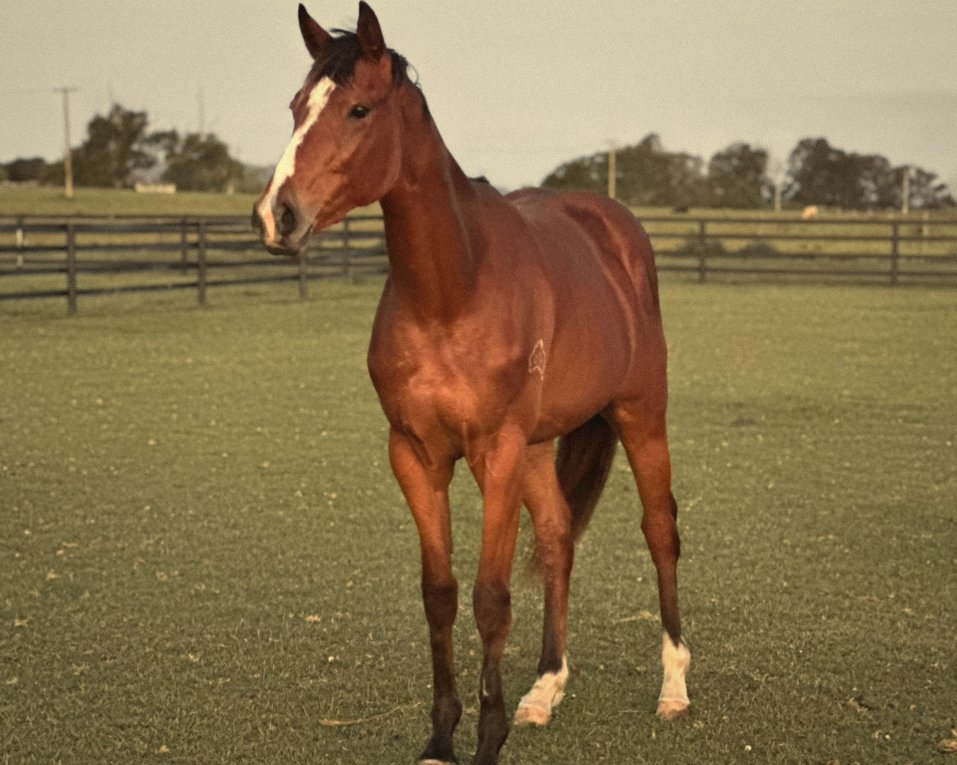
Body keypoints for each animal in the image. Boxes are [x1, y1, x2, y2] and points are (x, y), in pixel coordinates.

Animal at [252, 4, 690, 763]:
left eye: (359, 109)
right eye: (295, 108)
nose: (277, 216)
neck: (452, 289)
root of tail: (614, 228)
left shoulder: (497, 453)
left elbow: (489, 596)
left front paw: (487, 737)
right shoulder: (415, 455)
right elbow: (440, 592)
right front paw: (440, 736)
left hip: (639, 415)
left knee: (659, 530)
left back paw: (673, 688)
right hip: (542, 445)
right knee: (557, 536)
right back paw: (543, 689)